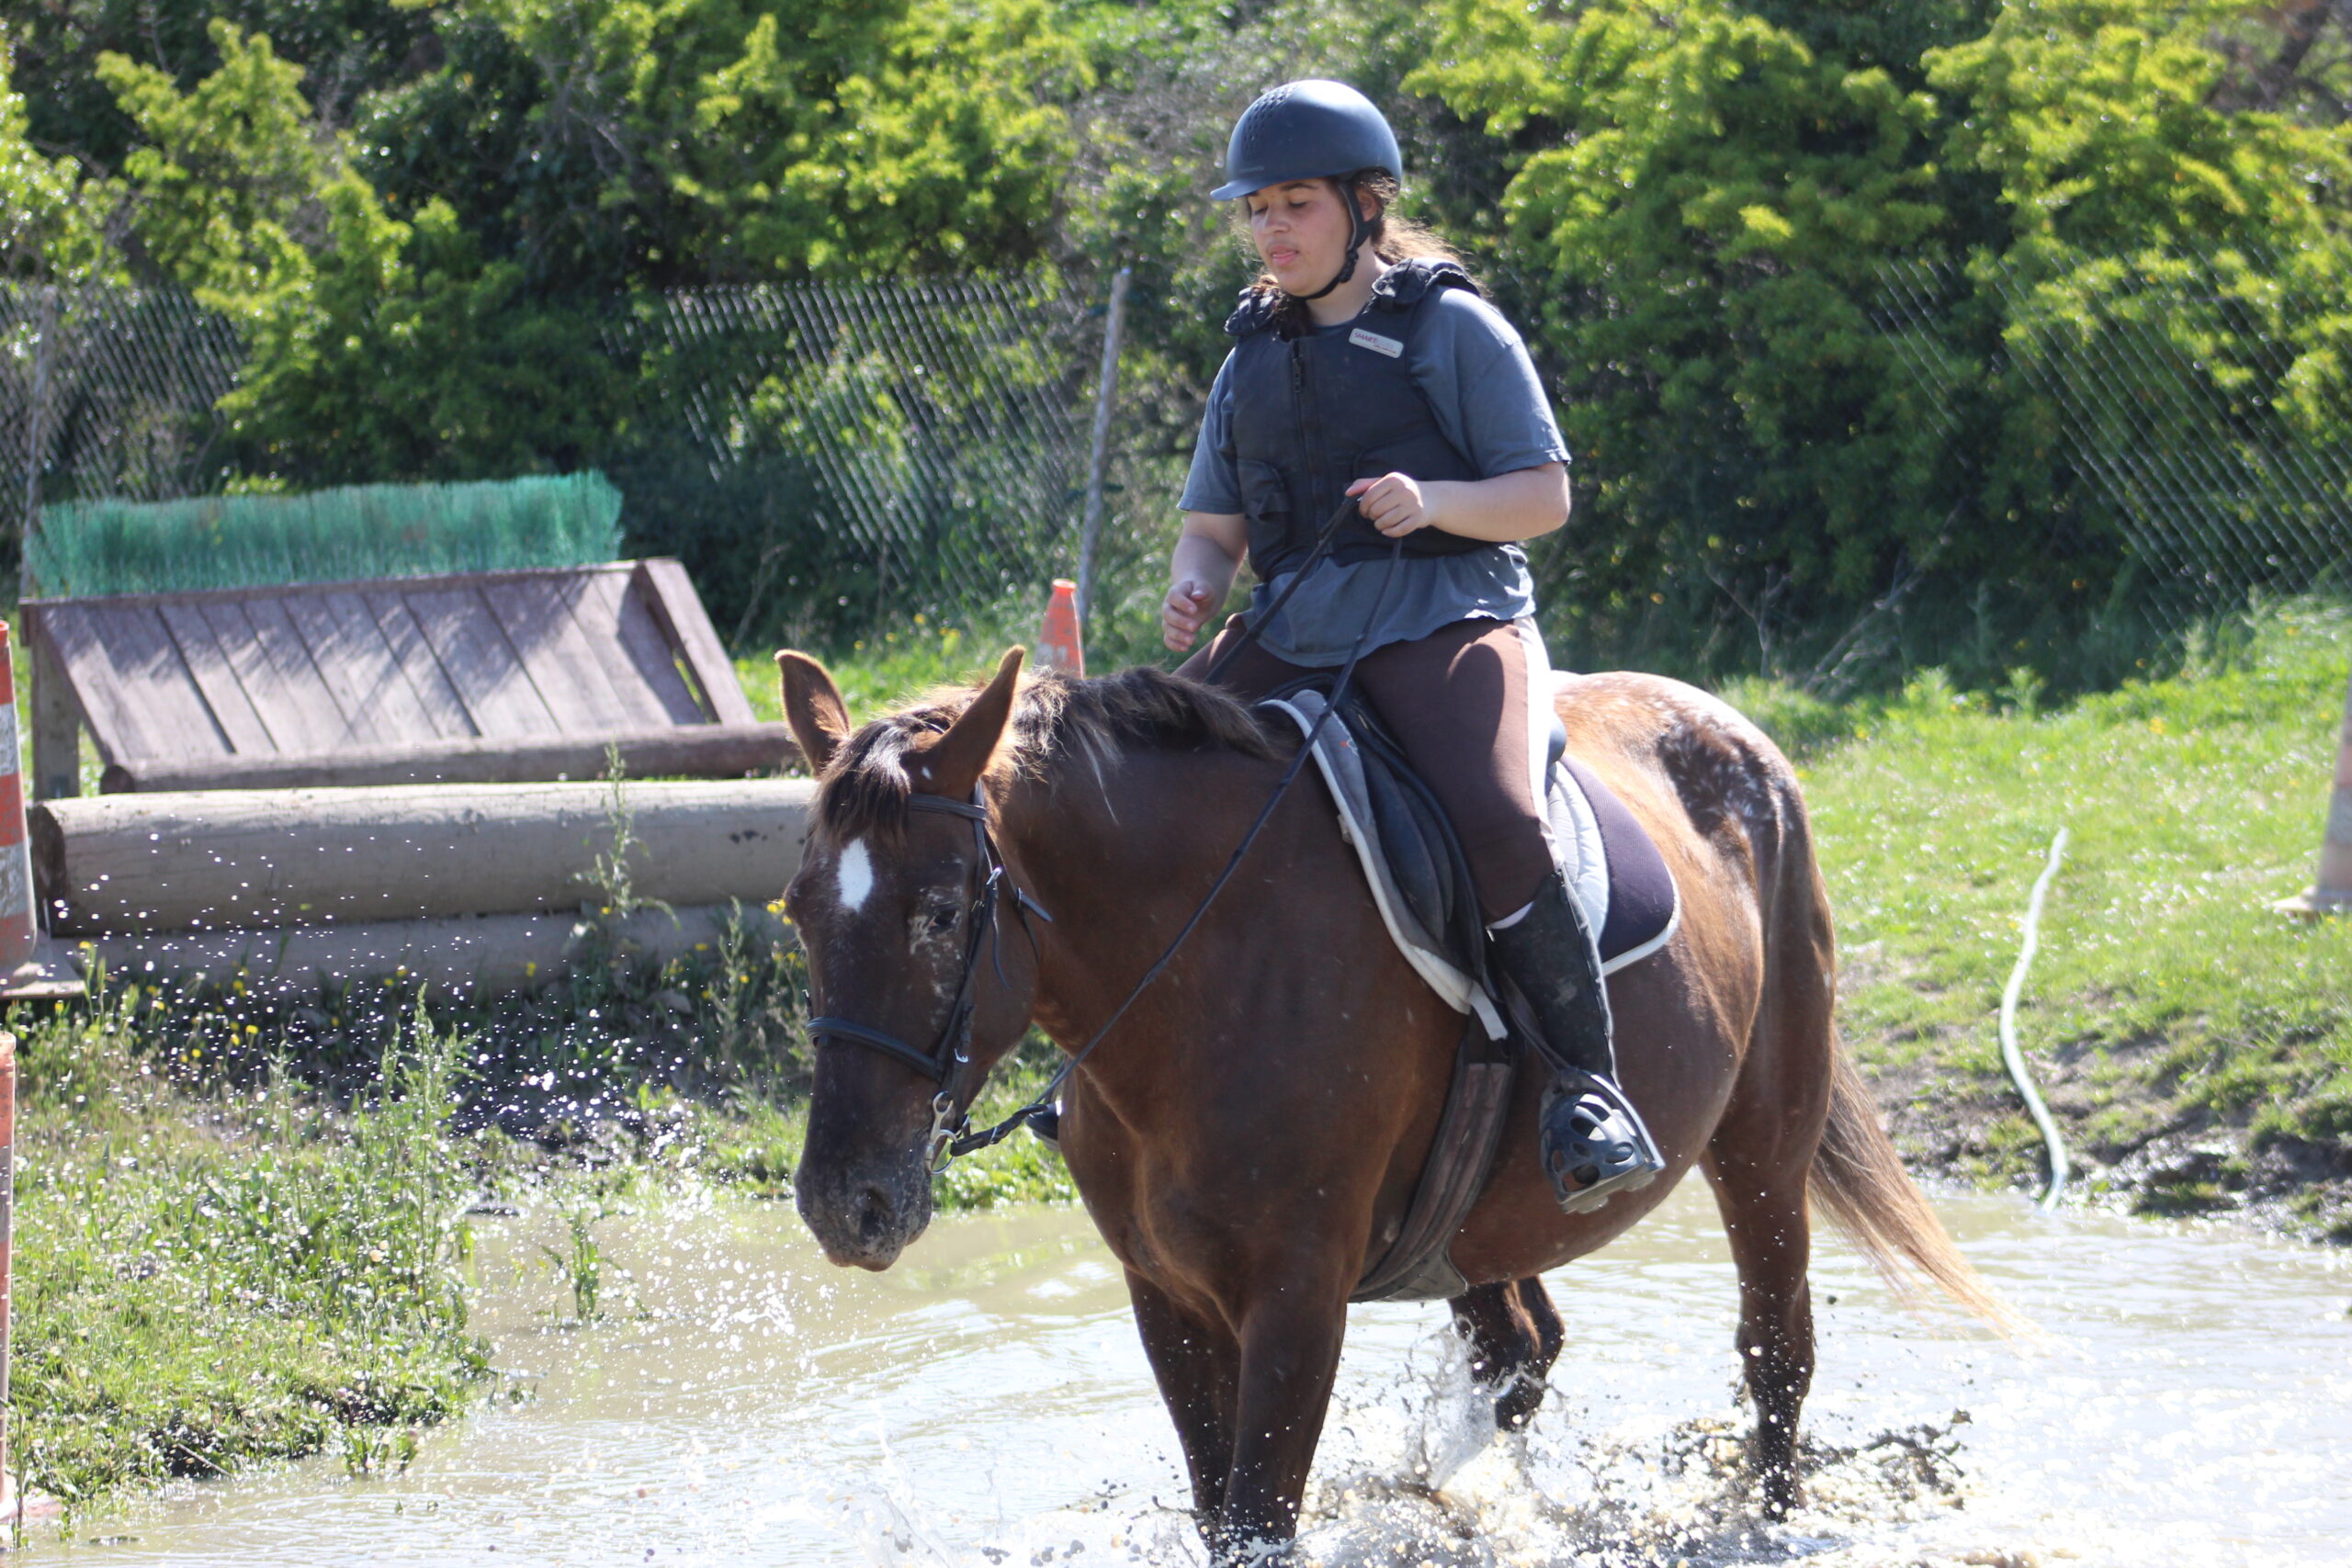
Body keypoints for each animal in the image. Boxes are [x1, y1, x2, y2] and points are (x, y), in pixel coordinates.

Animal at [775, 644, 2004, 1561]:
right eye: (796, 910)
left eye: (941, 911)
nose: (846, 1204)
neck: (1201, 976)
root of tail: (1734, 734)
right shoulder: (1164, 1296)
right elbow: (1220, 1512)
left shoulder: (1296, 1298)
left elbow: (1258, 1522)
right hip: (1479, 1218)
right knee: (1523, 1347)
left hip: (1761, 1143)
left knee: (1775, 1350)